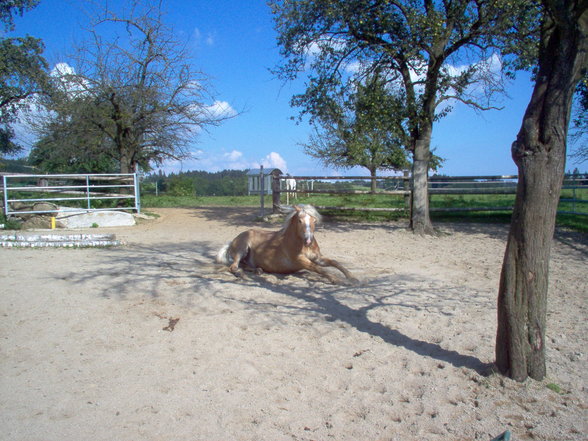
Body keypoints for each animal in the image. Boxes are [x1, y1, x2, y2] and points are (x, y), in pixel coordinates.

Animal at [214, 204, 356, 284]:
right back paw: (241, 274)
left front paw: (352, 277)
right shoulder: (299, 260)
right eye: (299, 220)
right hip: (242, 249)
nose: (308, 240)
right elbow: (318, 268)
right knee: (233, 267)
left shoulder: (317, 258)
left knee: (244, 265)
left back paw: (258, 270)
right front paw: (335, 279)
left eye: (314, 220)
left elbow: (335, 262)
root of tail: (232, 242)